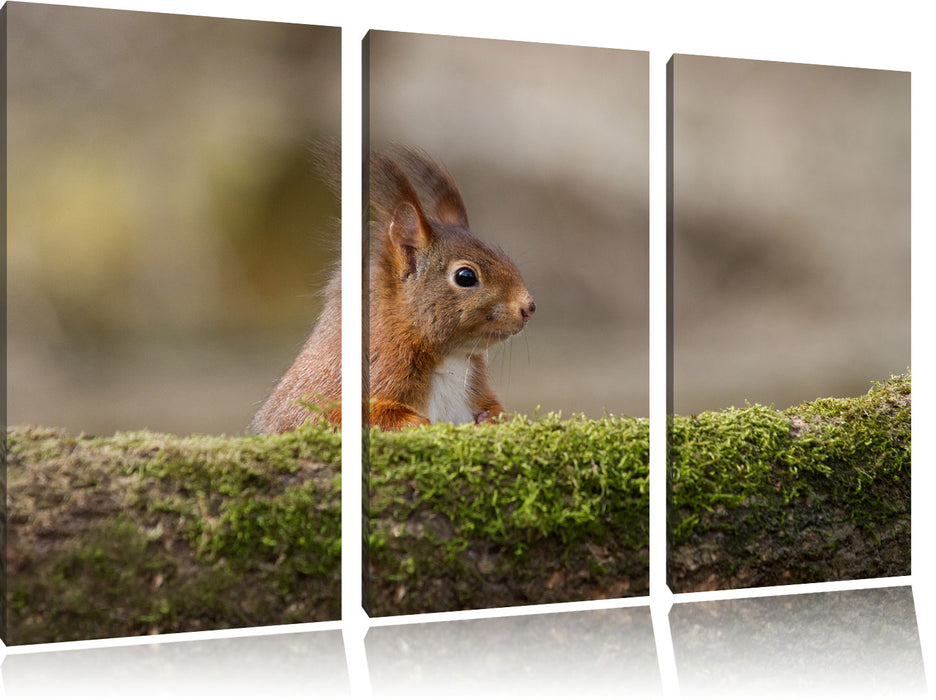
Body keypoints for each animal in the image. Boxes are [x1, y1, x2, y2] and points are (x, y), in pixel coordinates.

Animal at [252, 147, 536, 432]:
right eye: (465, 276)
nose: (529, 307)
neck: (451, 359)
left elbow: (493, 407)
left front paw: (492, 418)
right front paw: (418, 423)